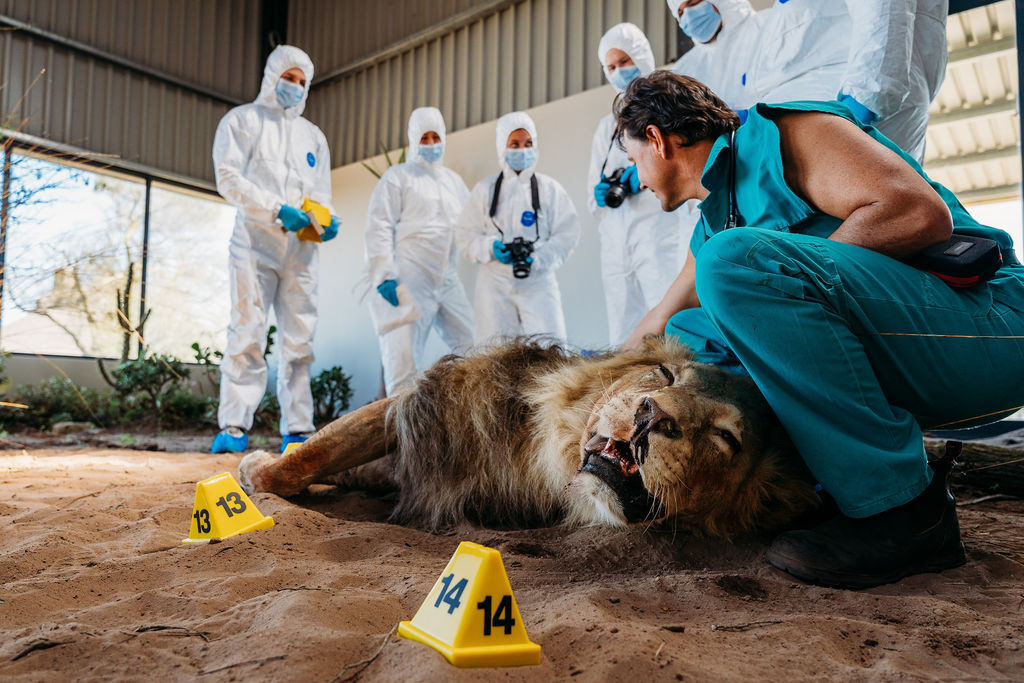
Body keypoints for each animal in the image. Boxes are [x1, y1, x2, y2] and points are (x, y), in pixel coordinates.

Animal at [238, 337, 821, 538]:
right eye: (664, 375)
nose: (653, 416)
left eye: (726, 439)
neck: (542, 458)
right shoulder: (431, 401)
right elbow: (322, 447)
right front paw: (260, 470)